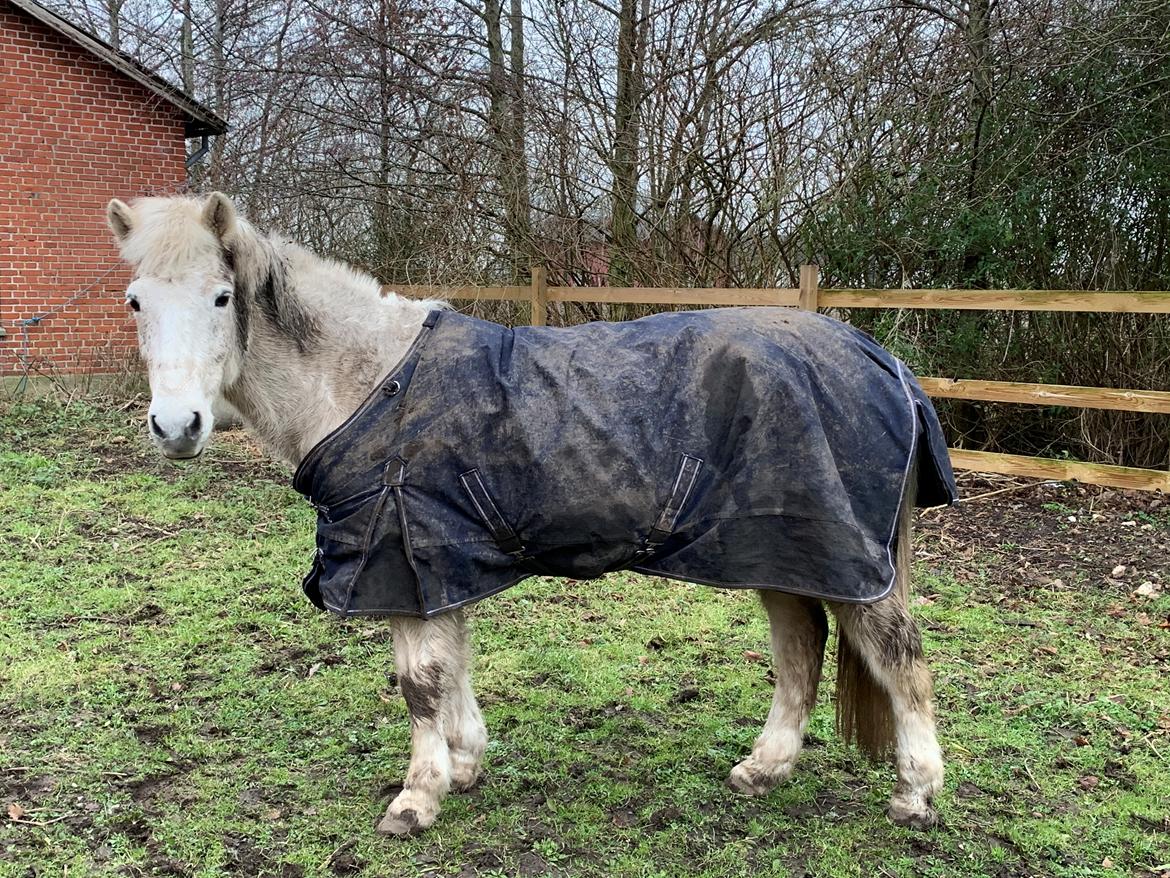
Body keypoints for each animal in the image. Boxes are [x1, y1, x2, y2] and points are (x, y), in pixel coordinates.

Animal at [105, 191, 945, 838]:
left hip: (848, 560)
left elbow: (419, 681)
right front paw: (465, 762)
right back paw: (764, 769)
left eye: (221, 298)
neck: (370, 384)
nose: (176, 426)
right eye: (137, 301)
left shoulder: (401, 559)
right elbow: (450, 668)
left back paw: (916, 793)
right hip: (773, 548)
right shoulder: (431, 566)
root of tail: (884, 362)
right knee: (801, 648)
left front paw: (416, 798)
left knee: (898, 657)